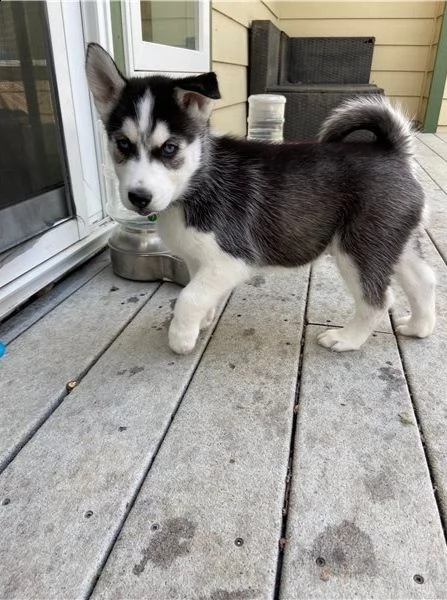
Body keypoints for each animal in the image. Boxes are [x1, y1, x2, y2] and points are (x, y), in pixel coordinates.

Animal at [86, 44, 436, 354]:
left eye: (170, 148)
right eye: (123, 144)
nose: (139, 198)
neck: (197, 182)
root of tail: (392, 150)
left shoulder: (233, 258)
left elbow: (189, 297)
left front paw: (181, 338)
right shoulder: (198, 259)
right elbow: (198, 292)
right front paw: (202, 322)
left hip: (358, 248)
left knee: (379, 300)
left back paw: (346, 339)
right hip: (394, 241)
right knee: (425, 281)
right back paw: (418, 327)